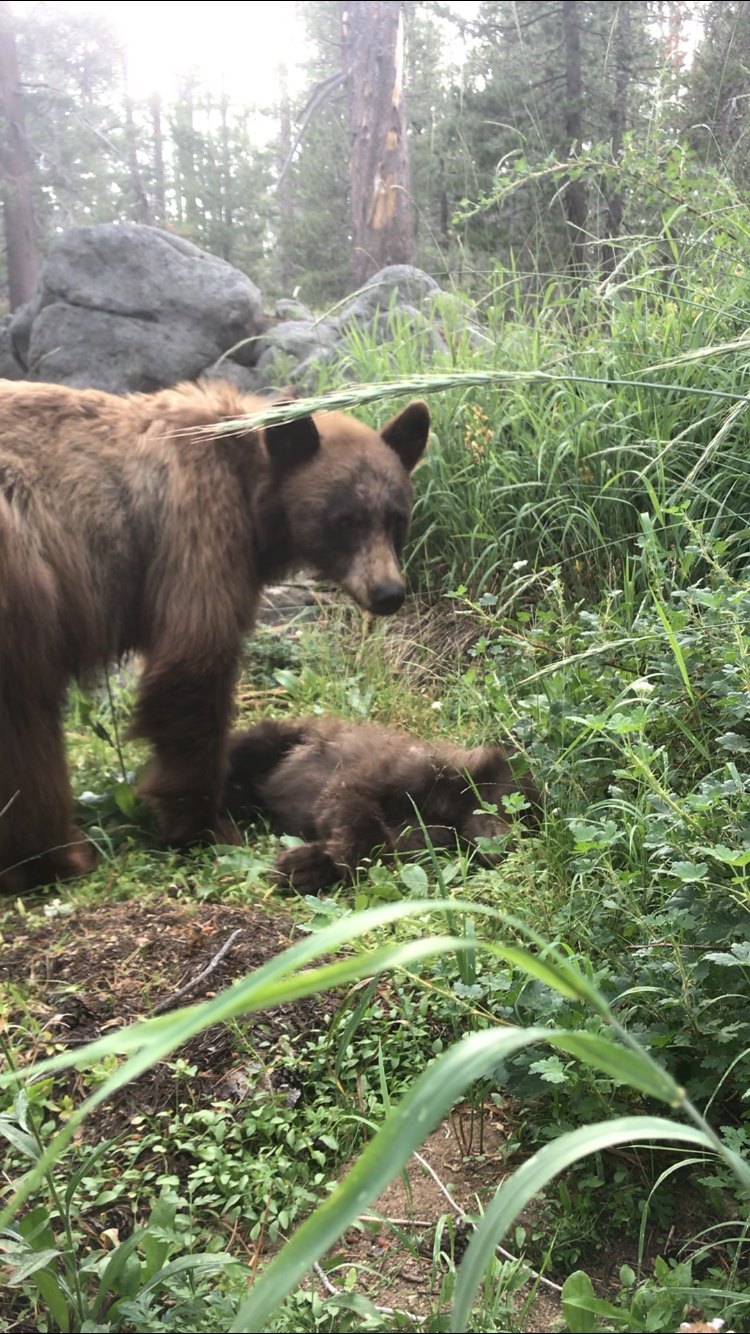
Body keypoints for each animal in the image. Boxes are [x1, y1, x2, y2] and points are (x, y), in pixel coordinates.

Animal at [0, 381, 429, 891]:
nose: (388, 593)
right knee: (25, 722)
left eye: (396, 517)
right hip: (23, 576)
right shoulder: (198, 528)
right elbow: (193, 667)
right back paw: (55, 857)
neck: (249, 480)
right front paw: (204, 825)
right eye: (344, 519)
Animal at [218, 715, 539, 891]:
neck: (448, 807)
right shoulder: (394, 771)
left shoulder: (424, 837)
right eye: (518, 808)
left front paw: (306, 867)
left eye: (532, 827)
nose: (511, 847)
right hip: (278, 739)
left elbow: (385, 850)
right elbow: (350, 803)